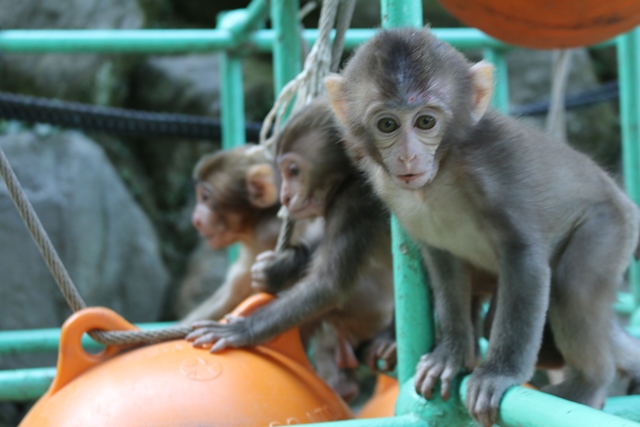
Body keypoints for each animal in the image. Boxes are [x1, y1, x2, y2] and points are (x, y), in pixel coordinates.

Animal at [184, 100, 396, 402]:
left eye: (206, 198)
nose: (196, 219)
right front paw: (278, 269)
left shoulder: (352, 204)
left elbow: (327, 285)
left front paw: (242, 329)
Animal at [328, 25, 640, 427]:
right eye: (387, 124)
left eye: (425, 121)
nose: (409, 157)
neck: (442, 170)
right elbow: (443, 263)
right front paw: (451, 353)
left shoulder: (496, 168)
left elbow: (525, 257)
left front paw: (498, 374)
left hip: (611, 225)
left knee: (573, 287)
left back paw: (589, 383)